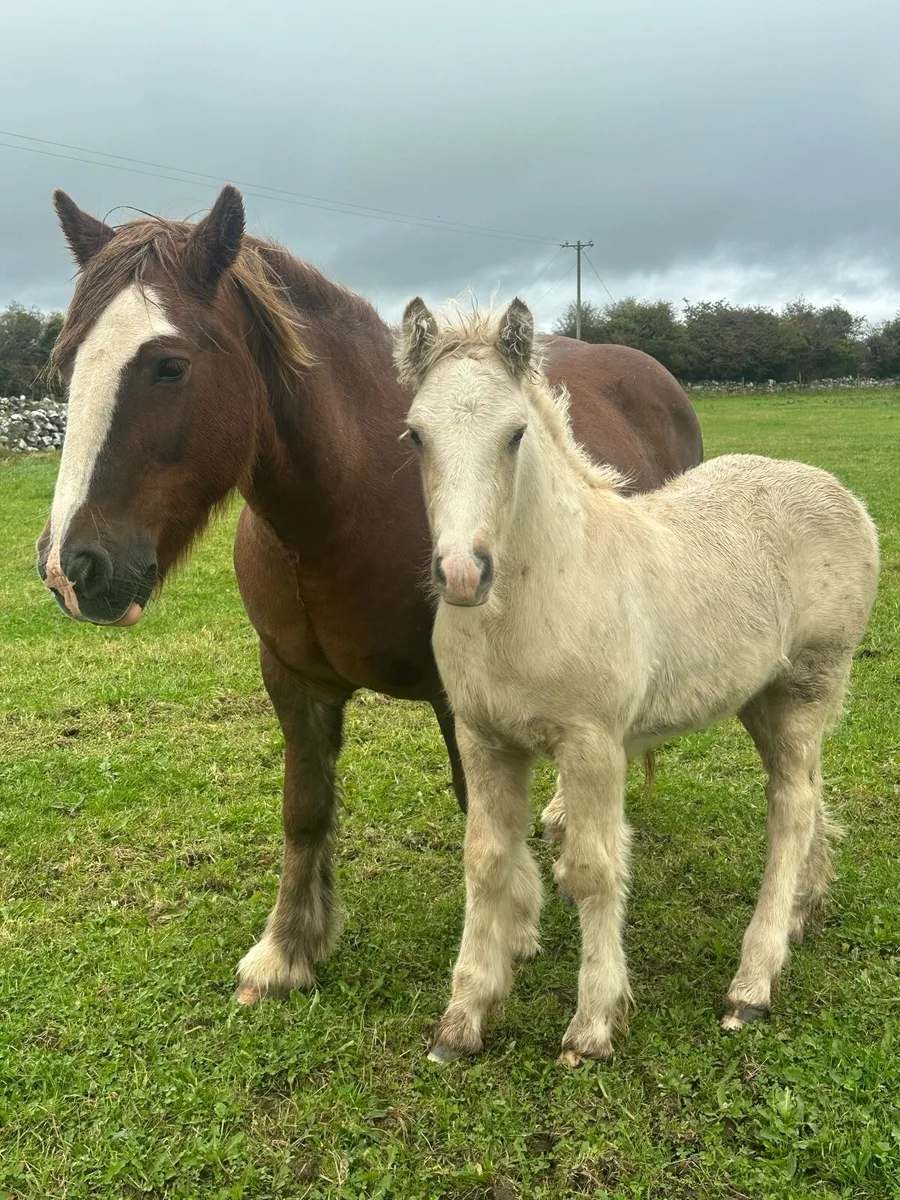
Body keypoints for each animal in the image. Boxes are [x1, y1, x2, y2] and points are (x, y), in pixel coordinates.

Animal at [36, 185, 703, 1005]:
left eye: (168, 366)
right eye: (67, 361)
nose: (72, 568)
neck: (349, 500)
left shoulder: (461, 700)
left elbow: (481, 823)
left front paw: (505, 942)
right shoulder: (294, 682)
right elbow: (306, 811)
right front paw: (288, 948)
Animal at [397, 297, 879, 1066]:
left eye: (515, 434)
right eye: (416, 434)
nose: (463, 574)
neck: (537, 595)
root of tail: (844, 495)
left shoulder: (592, 743)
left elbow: (594, 869)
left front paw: (593, 1025)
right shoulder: (484, 738)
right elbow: (486, 861)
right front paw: (462, 1018)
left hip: (810, 683)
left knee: (791, 809)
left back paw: (752, 983)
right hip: (760, 697)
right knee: (806, 788)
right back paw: (805, 911)